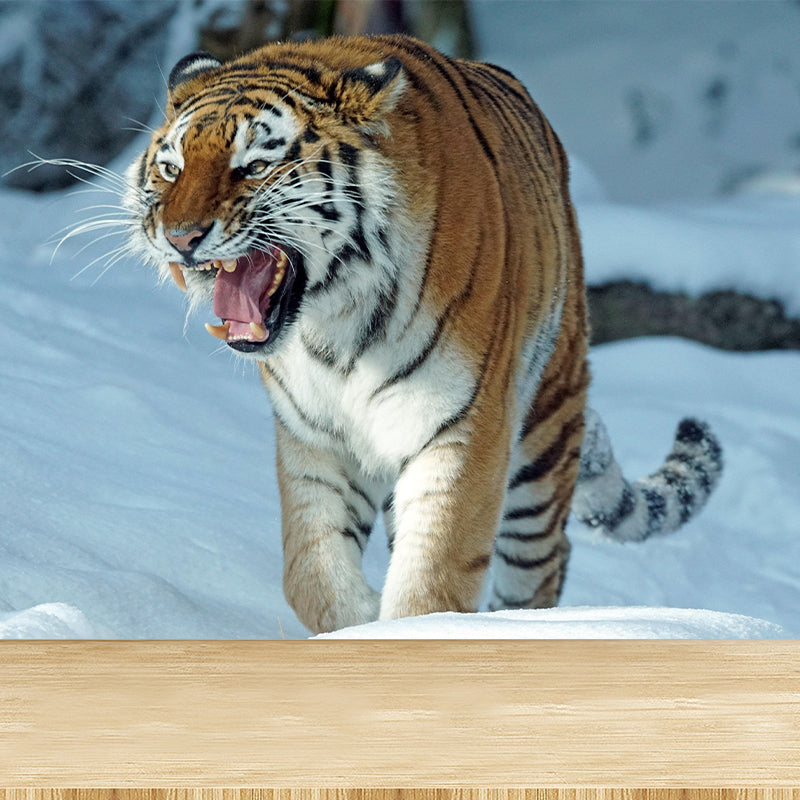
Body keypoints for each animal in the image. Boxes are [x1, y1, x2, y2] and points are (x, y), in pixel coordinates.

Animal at [125, 34, 723, 634]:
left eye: (253, 166)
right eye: (172, 168)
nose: (179, 237)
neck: (334, 323)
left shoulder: (463, 428)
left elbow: (433, 579)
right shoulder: (314, 437)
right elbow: (311, 573)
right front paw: (360, 620)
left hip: (545, 433)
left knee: (543, 563)